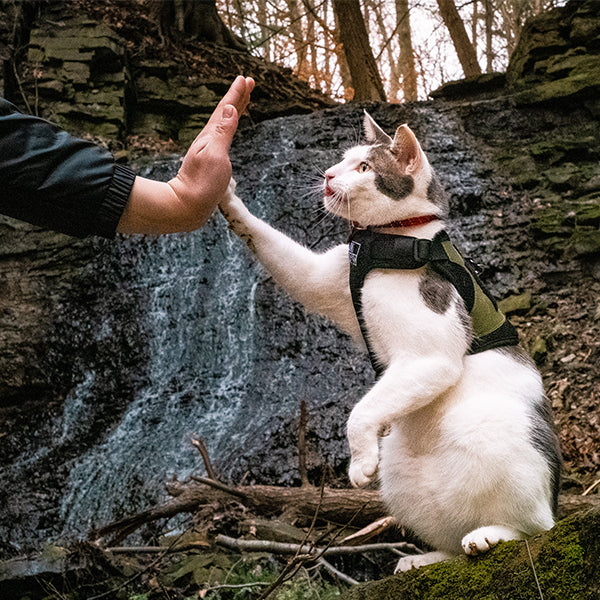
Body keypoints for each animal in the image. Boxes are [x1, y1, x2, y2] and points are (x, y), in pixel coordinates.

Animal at [220, 112, 564, 572]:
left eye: (365, 168)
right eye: (343, 160)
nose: (328, 175)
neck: (386, 240)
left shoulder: (429, 358)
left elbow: (359, 412)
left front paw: (360, 461)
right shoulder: (324, 279)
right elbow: (276, 248)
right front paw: (224, 194)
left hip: (489, 431)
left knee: (533, 527)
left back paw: (491, 536)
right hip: (404, 474)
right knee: (452, 540)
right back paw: (428, 558)